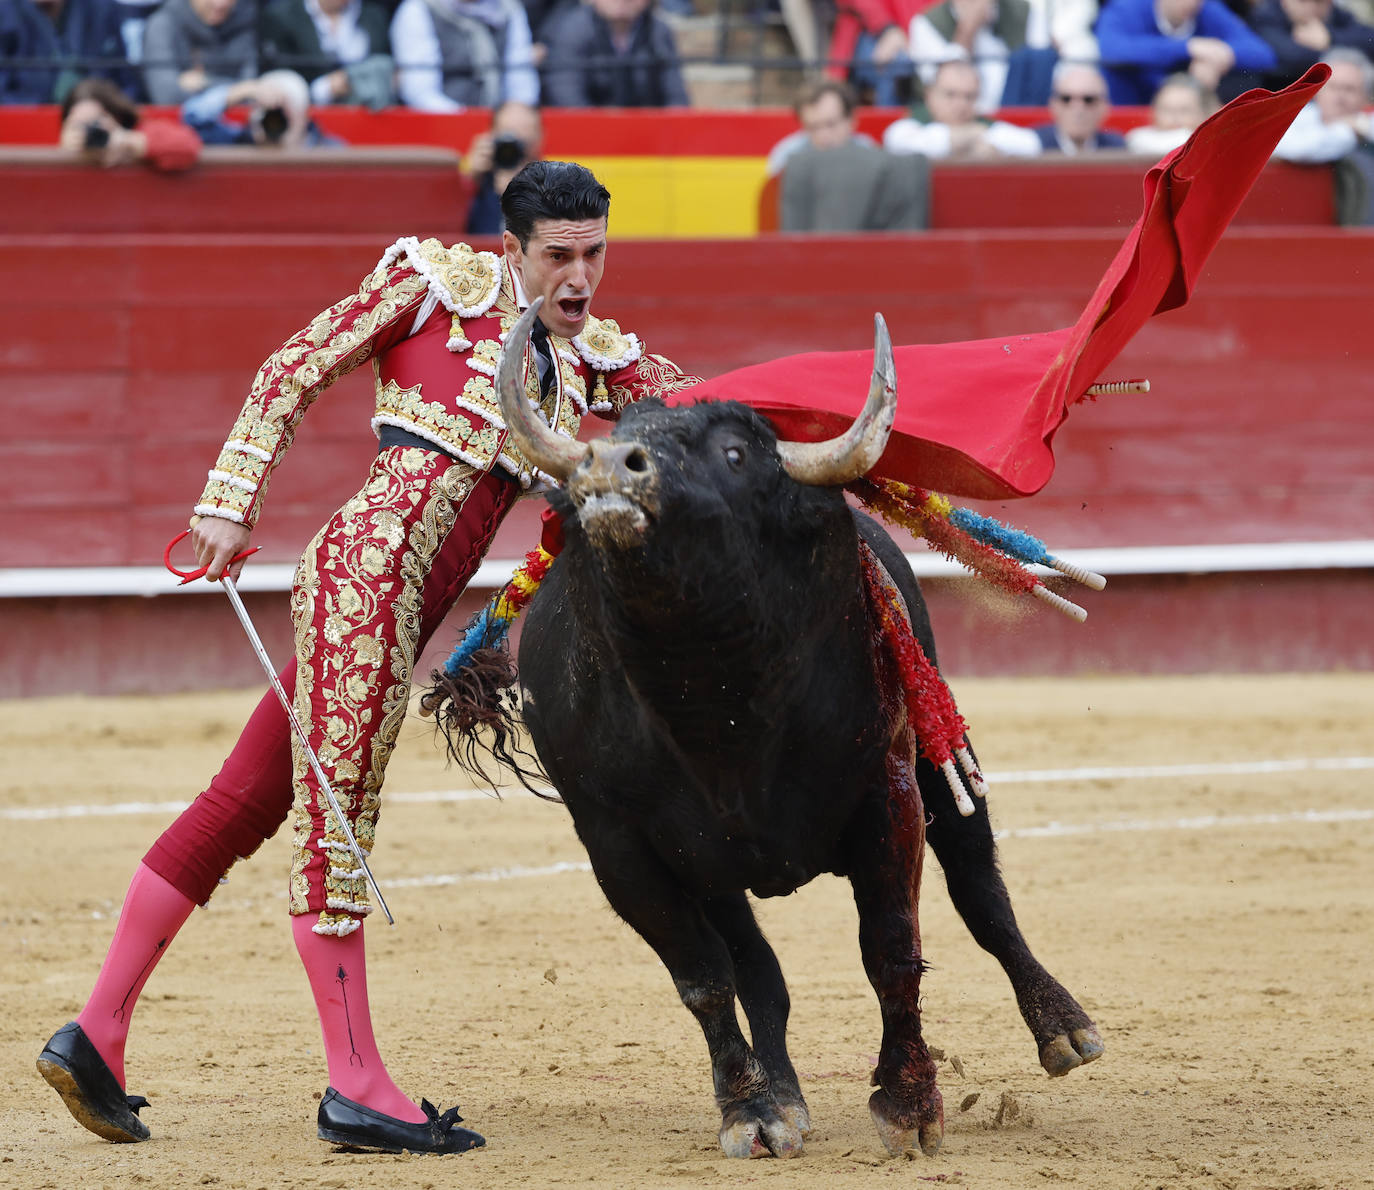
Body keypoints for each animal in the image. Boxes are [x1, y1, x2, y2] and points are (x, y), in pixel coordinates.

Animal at [445, 300, 1099, 1154]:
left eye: (732, 452)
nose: (607, 467)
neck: (715, 700)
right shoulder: (619, 845)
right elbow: (704, 977)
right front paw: (751, 1110)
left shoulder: (888, 793)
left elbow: (892, 947)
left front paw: (909, 1105)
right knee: (757, 968)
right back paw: (782, 1097)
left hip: (937, 764)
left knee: (980, 889)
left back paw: (1064, 1029)